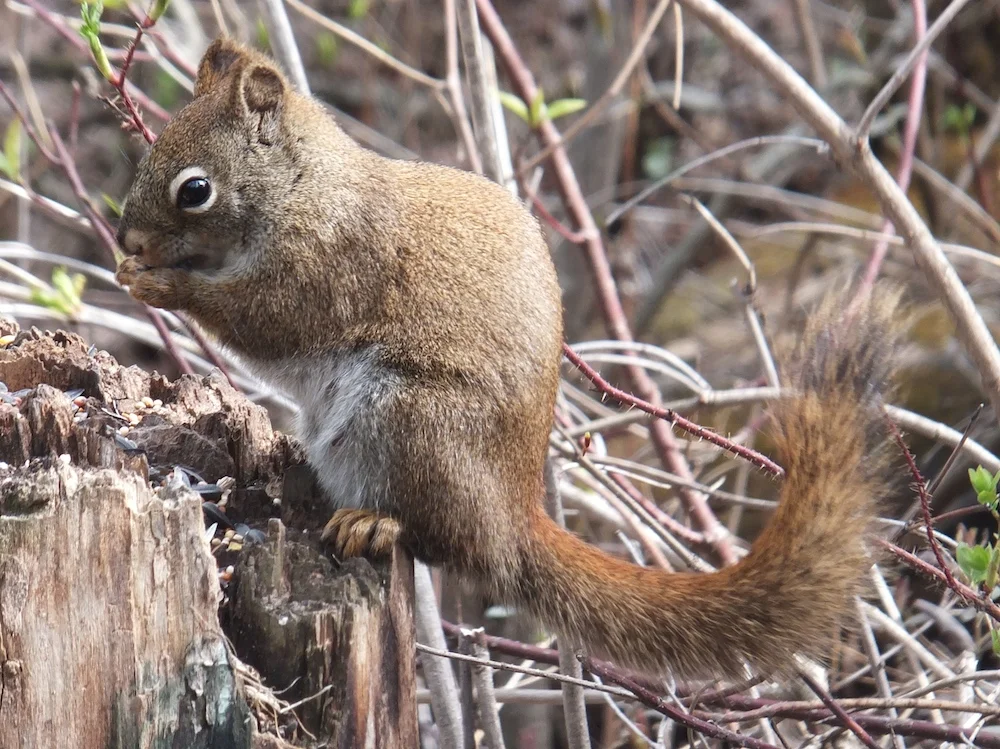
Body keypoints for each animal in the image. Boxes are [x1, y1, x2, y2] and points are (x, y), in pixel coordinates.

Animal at [115, 38, 898, 680]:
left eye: (195, 189)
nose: (129, 239)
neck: (305, 188)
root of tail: (514, 518)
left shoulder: (332, 264)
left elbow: (265, 320)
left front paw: (160, 283)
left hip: (410, 422)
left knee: (443, 541)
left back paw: (377, 523)